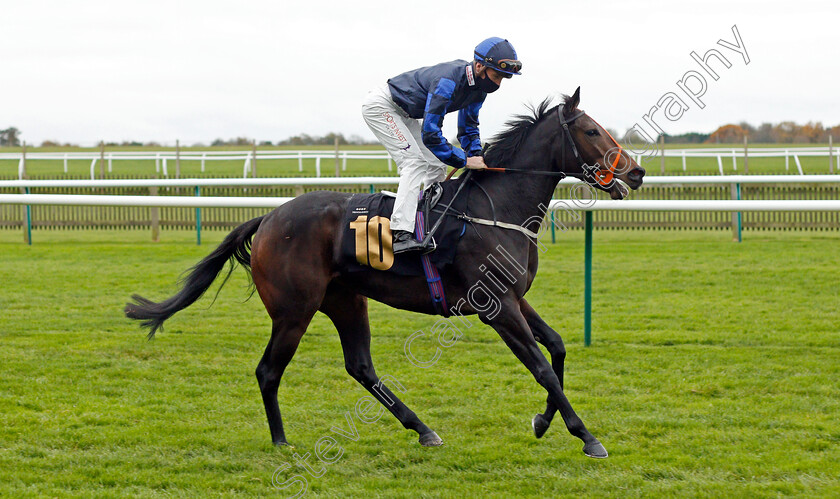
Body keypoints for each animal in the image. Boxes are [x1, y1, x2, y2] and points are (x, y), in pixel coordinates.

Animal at [123, 88, 644, 458]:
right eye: (592, 131)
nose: (636, 173)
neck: (496, 208)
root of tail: (268, 218)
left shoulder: (515, 297)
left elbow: (556, 348)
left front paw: (542, 422)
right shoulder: (495, 308)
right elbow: (541, 367)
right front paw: (587, 436)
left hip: (345, 300)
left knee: (360, 365)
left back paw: (424, 430)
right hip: (294, 310)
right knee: (269, 371)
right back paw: (281, 440)